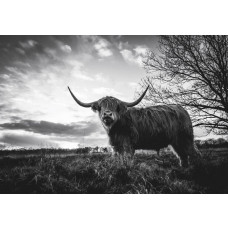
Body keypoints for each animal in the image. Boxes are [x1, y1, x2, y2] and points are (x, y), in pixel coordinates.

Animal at [68, 86, 200, 167]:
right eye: (100, 107)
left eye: (116, 107)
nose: (107, 114)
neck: (114, 129)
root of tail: (182, 108)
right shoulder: (117, 147)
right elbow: (120, 160)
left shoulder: (128, 146)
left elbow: (127, 160)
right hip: (176, 142)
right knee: (182, 156)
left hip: (186, 138)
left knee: (193, 154)